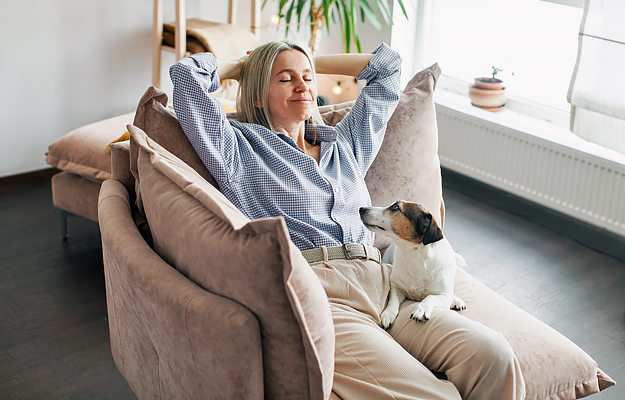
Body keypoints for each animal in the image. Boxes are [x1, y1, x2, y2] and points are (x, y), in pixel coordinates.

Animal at [358, 202, 466, 330]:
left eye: (395, 207)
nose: (361, 208)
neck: (414, 258)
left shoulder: (443, 295)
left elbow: (430, 297)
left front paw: (422, 309)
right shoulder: (396, 287)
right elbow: (393, 300)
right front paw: (388, 314)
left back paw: (456, 300)